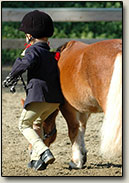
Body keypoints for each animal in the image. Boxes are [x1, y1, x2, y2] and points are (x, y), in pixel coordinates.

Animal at [28, 39, 122, 169]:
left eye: (34, 128)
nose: (30, 152)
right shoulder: (83, 109)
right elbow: (81, 129)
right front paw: (83, 156)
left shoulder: (68, 108)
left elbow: (73, 131)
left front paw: (76, 161)